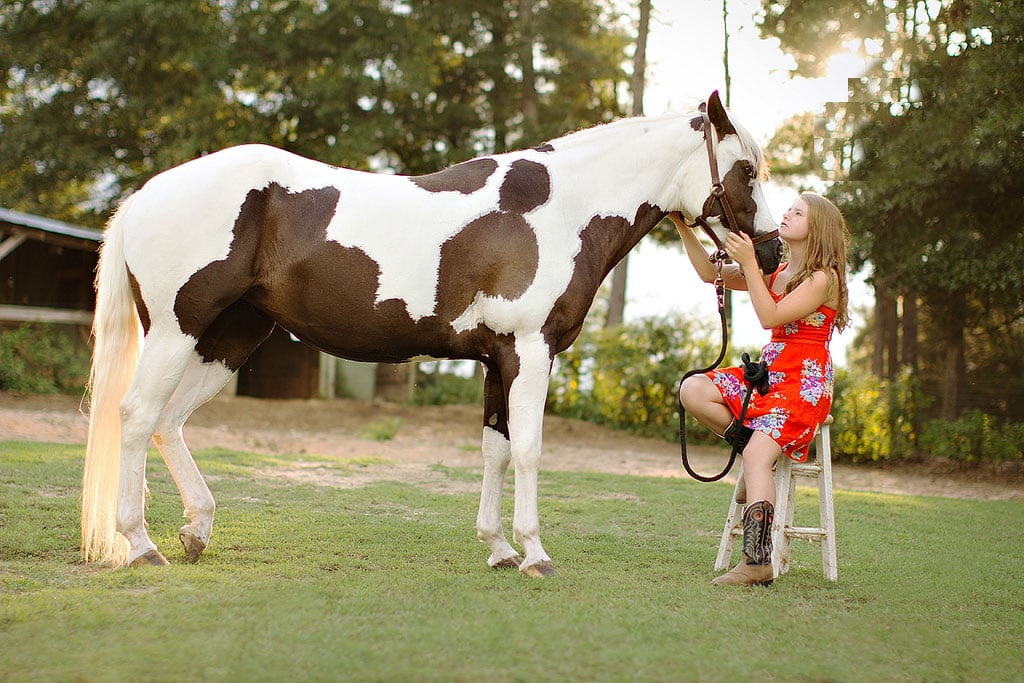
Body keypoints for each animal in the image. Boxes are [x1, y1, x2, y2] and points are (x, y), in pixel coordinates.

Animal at [81, 88, 782, 573]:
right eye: (746, 169)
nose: (772, 252)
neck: (559, 207)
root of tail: (146, 193)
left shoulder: (498, 359)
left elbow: (496, 449)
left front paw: (498, 548)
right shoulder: (531, 351)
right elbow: (530, 449)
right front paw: (534, 553)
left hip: (227, 339)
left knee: (170, 421)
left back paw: (195, 530)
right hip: (177, 333)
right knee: (137, 415)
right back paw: (140, 544)